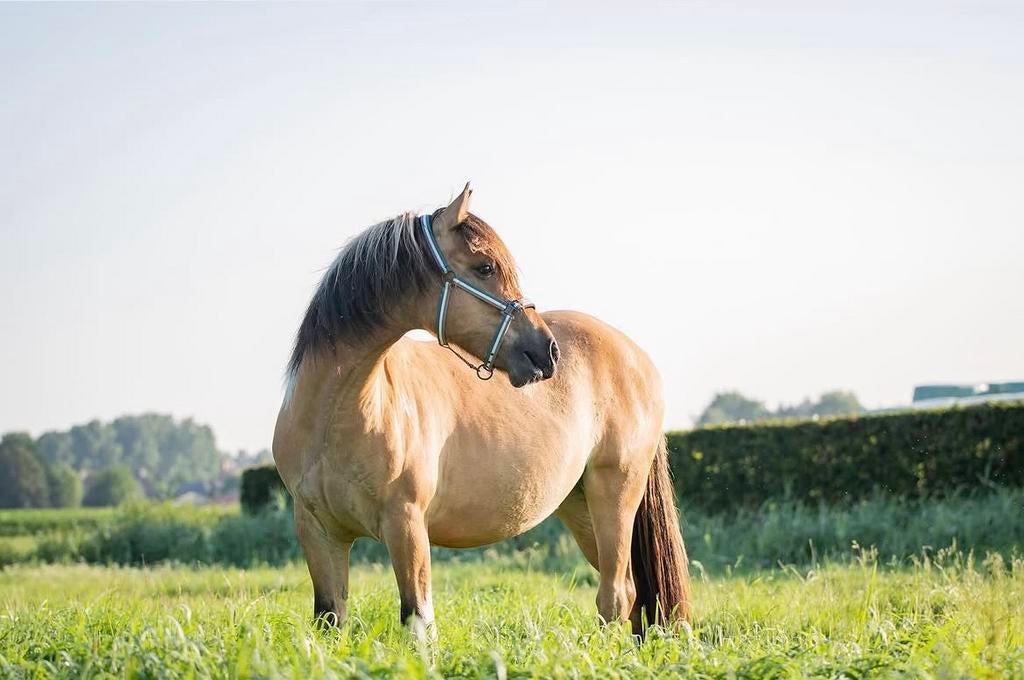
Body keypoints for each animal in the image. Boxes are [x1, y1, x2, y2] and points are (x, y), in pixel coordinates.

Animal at [272, 184, 690, 633]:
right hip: (581, 507)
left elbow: (417, 620)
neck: (338, 416)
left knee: (615, 595)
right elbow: (330, 618)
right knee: (634, 594)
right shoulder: (318, 533)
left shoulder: (407, 525)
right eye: (485, 267)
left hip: (614, 493)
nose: (547, 352)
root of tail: (638, 358)